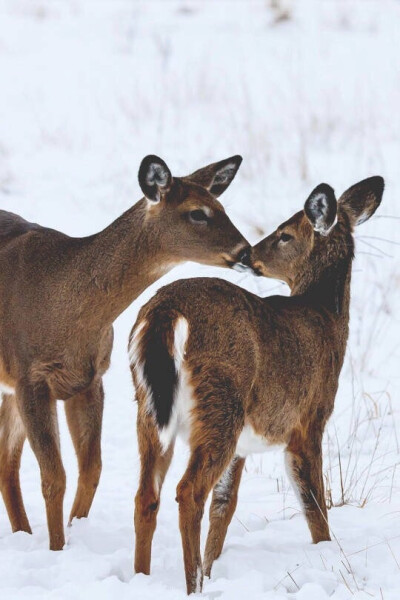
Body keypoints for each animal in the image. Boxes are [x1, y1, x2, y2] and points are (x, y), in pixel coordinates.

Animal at [0, 156, 250, 552]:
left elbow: (91, 469)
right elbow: (54, 477)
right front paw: (57, 548)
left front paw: (75, 530)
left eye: (223, 207)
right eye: (197, 213)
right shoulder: (31, 376)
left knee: (6, 461)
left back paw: (22, 533)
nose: (246, 251)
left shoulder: (89, 377)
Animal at [130, 176, 382, 592]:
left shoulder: (247, 443)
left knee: (147, 494)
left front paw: (213, 567)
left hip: (149, 406)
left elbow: (225, 504)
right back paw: (192, 585)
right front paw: (328, 552)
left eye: (284, 235)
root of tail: (166, 311)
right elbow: (315, 504)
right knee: (188, 491)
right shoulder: (308, 419)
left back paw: (143, 577)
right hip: (220, 400)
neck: (326, 320)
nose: (249, 255)